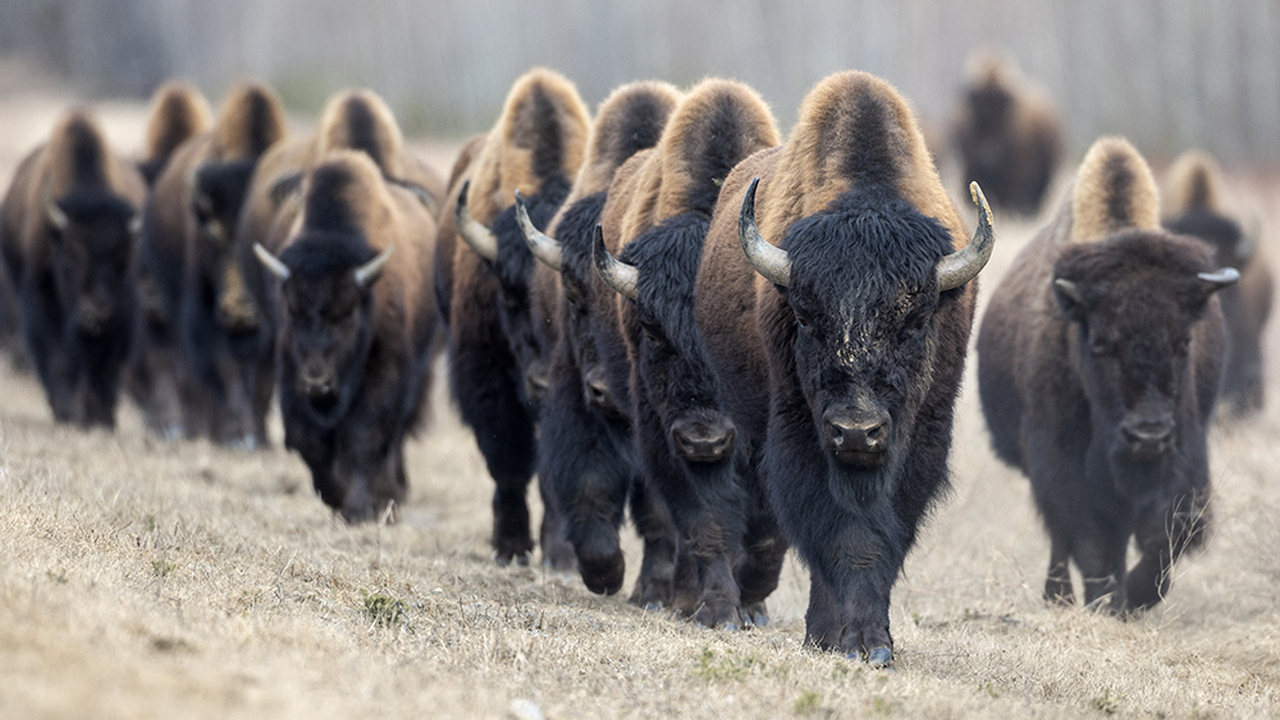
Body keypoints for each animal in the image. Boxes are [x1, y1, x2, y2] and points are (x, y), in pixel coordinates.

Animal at [0, 110, 147, 427]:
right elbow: (58, 359)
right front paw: (67, 413)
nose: (96, 310)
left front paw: (102, 418)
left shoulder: (123, 310)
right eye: (69, 253)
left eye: (123, 256)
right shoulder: (41, 299)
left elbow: (106, 366)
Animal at [253, 150, 439, 522]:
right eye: (291, 311)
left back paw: (392, 494)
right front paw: (336, 497)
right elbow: (309, 440)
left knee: (396, 435)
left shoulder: (386, 370)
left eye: (347, 312)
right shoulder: (290, 371)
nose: (317, 381)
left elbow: (364, 435)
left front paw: (361, 506)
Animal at [590, 78, 786, 627]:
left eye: (743, 336)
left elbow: (764, 527)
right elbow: (704, 522)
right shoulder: (662, 432)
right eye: (652, 330)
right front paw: (717, 611)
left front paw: (749, 604)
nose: (705, 439)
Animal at [697, 71, 995, 665]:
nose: (857, 431)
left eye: (915, 321)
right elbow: (837, 535)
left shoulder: (920, 441)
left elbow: (879, 538)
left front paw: (871, 644)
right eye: (807, 318)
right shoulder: (799, 435)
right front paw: (842, 640)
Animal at [978, 137, 1236, 613]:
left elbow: (1167, 533)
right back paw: (1058, 596)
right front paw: (1110, 602)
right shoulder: (1061, 466)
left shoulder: (1186, 455)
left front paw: (1138, 596)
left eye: (1183, 342)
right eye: (1099, 342)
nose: (1147, 435)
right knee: (1062, 541)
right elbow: (1091, 541)